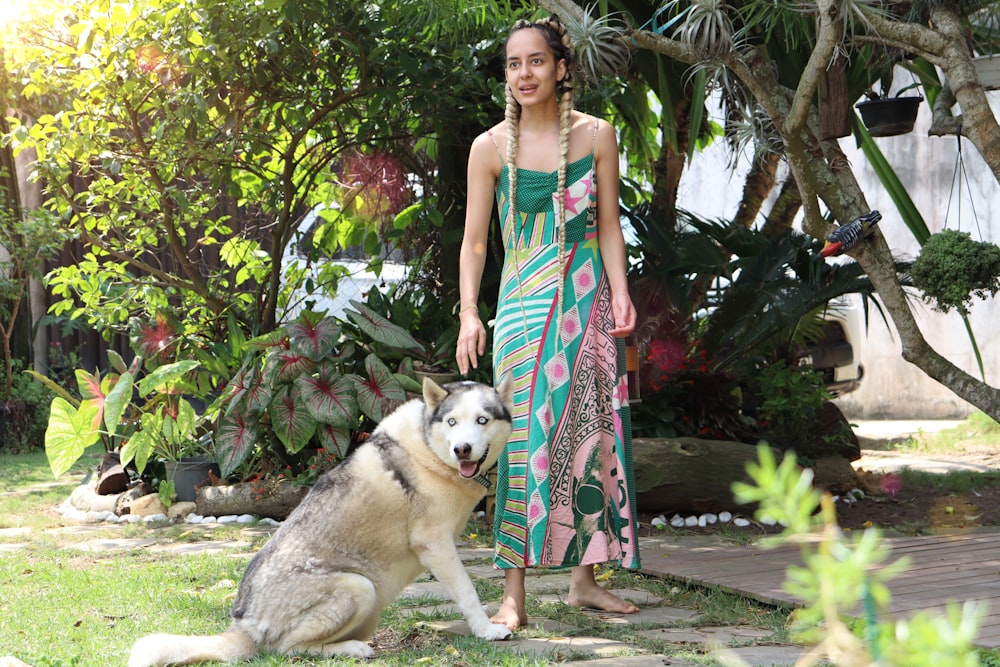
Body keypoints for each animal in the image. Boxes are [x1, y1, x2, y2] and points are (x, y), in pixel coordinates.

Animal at [128, 378, 512, 664]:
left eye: (482, 420)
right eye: (451, 422)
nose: (462, 449)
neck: (431, 451)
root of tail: (243, 625)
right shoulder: (436, 546)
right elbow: (467, 593)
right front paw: (488, 630)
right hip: (359, 588)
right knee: (285, 650)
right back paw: (352, 649)